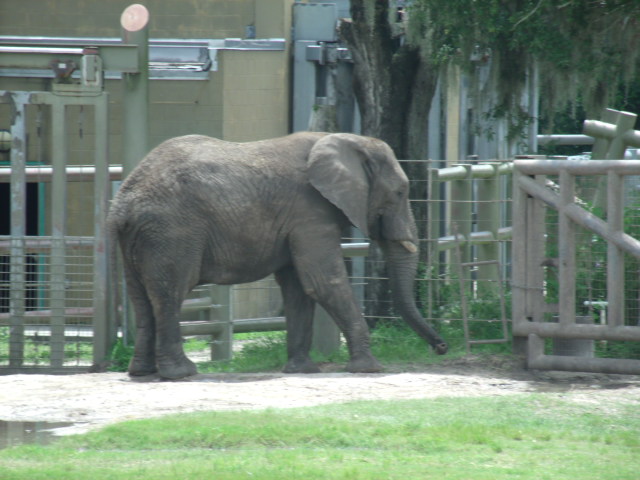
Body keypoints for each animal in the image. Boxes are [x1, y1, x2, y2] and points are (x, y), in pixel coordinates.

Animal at [107, 132, 448, 379]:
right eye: (401, 192)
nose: (441, 346)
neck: (348, 139)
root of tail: (122, 202)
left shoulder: (299, 221)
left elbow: (298, 288)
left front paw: (302, 370)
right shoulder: (310, 212)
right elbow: (323, 282)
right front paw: (370, 368)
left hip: (140, 239)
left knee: (141, 299)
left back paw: (142, 372)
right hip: (171, 233)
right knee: (170, 294)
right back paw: (181, 373)